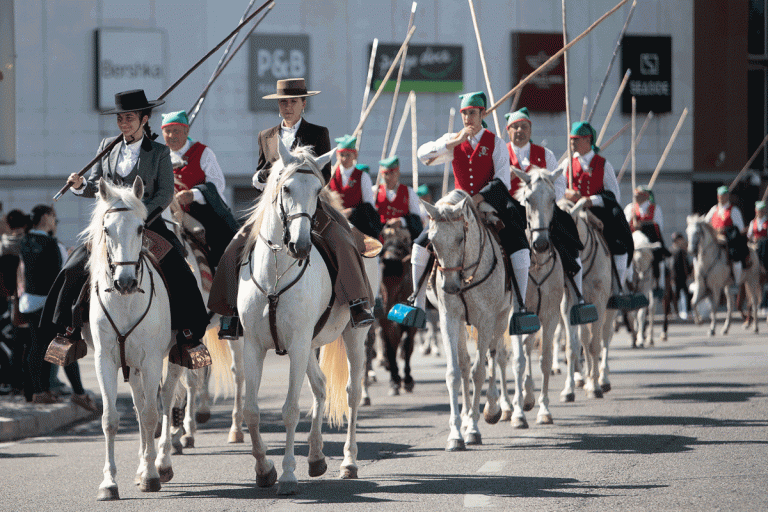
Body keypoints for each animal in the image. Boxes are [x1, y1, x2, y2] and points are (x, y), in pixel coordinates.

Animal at [83, 177, 183, 500]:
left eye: (140, 228)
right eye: (106, 229)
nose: (125, 282)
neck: (125, 302)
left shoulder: (151, 360)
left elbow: (152, 415)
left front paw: (151, 475)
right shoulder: (105, 359)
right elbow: (111, 419)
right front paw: (108, 483)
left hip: (173, 356)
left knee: (165, 399)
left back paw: (161, 464)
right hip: (134, 366)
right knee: (140, 406)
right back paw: (142, 465)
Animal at [236, 142, 376, 494]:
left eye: (317, 190)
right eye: (285, 187)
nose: (300, 245)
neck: (275, 274)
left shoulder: (297, 344)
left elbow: (289, 410)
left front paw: (287, 475)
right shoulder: (254, 346)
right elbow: (252, 410)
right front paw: (264, 470)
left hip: (353, 336)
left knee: (352, 393)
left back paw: (349, 462)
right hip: (309, 345)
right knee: (321, 386)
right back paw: (315, 457)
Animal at [420, 190, 510, 450]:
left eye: (461, 238)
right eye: (432, 241)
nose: (450, 287)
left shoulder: (486, 320)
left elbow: (480, 371)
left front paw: (473, 428)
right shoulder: (449, 318)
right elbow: (455, 373)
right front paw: (456, 434)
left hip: (501, 318)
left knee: (496, 355)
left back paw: (493, 408)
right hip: (461, 324)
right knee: (466, 364)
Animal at [560, 198, 616, 402]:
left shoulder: (599, 303)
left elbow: (595, 346)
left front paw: (594, 386)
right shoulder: (569, 306)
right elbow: (573, 346)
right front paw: (568, 389)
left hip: (610, 308)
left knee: (605, 337)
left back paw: (603, 379)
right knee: (585, 338)